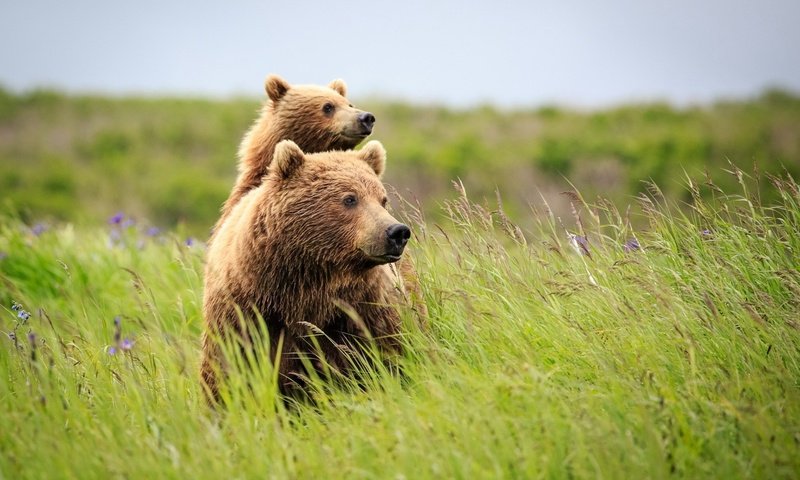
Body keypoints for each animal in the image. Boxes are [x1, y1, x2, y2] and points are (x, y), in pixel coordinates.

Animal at [202, 140, 424, 402]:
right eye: (350, 198)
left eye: (382, 199)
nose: (397, 232)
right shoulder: (245, 311)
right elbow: (229, 367)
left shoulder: (362, 308)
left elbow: (388, 352)